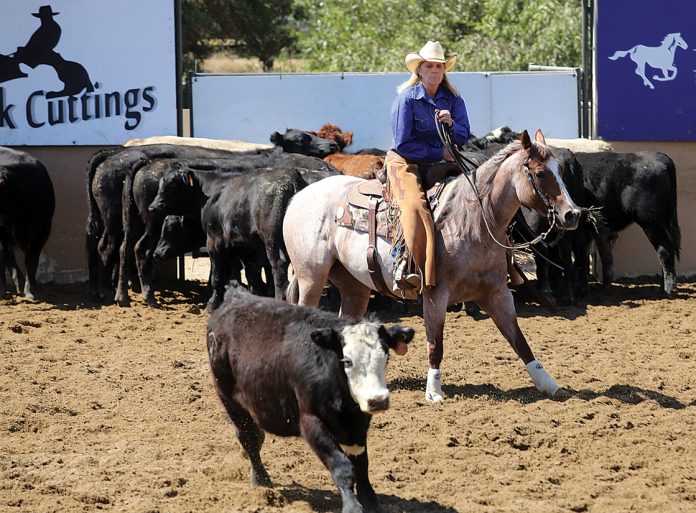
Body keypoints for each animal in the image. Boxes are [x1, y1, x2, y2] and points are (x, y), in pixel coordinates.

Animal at [207, 284, 414, 512]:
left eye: (386, 356)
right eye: (347, 361)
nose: (378, 400)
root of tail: (235, 297)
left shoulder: (358, 425)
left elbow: (361, 467)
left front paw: (371, 502)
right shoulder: (310, 421)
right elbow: (342, 467)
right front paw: (352, 506)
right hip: (230, 400)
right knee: (249, 438)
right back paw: (261, 480)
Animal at [282, 128, 580, 400]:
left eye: (561, 171)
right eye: (539, 173)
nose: (572, 214)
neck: (472, 221)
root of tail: (299, 196)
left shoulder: (497, 294)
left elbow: (520, 341)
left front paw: (550, 385)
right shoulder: (436, 294)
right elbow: (435, 343)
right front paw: (434, 391)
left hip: (353, 285)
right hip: (311, 277)